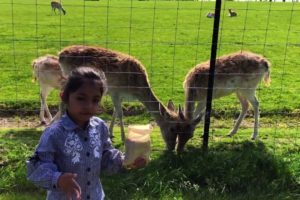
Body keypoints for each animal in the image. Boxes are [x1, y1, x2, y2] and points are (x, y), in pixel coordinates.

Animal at [51, 45, 202, 152]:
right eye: (173, 129)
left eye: (185, 132)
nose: (171, 148)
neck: (135, 88)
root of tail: (60, 55)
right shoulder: (115, 91)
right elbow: (120, 113)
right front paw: (124, 138)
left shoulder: (120, 95)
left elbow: (114, 112)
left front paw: (111, 133)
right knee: (63, 101)